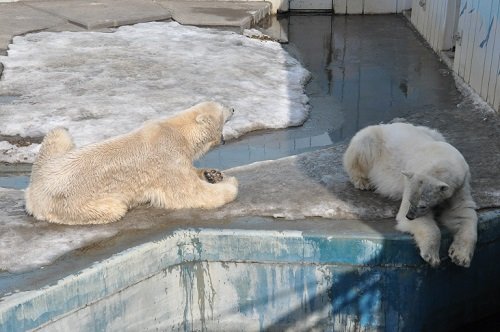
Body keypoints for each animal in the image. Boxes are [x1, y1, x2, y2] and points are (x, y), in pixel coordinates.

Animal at [24, 101, 239, 226]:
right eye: (222, 107)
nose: (234, 108)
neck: (179, 133)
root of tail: (32, 191)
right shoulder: (166, 160)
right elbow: (191, 193)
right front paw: (231, 184)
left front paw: (212, 174)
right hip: (71, 203)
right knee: (114, 208)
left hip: (51, 154)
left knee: (60, 132)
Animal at [344, 122, 476, 268]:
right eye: (411, 201)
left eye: (423, 205)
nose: (410, 216)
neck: (440, 161)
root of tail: (388, 125)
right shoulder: (410, 182)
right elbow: (415, 219)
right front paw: (431, 256)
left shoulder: (459, 185)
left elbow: (461, 213)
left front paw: (460, 256)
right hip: (373, 139)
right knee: (364, 143)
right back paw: (363, 181)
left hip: (433, 133)